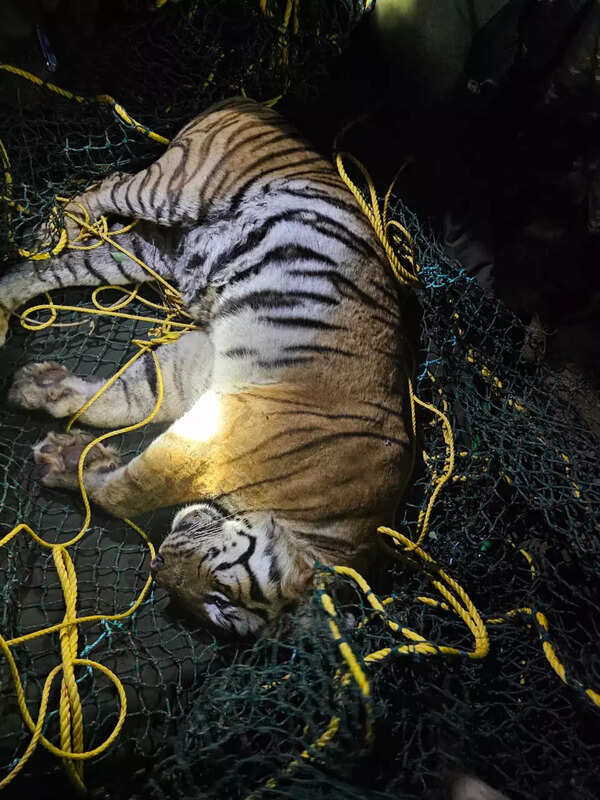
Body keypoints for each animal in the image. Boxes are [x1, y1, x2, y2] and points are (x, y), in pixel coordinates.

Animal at [0, 97, 415, 637]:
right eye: (221, 596)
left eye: (213, 609)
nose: (159, 568)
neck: (316, 528)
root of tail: (251, 103)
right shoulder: (219, 428)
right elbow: (128, 492)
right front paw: (67, 463)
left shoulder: (202, 368)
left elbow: (124, 398)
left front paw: (45, 397)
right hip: (175, 189)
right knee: (105, 185)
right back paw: (58, 227)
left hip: (145, 253)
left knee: (56, 267)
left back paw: (13, 293)